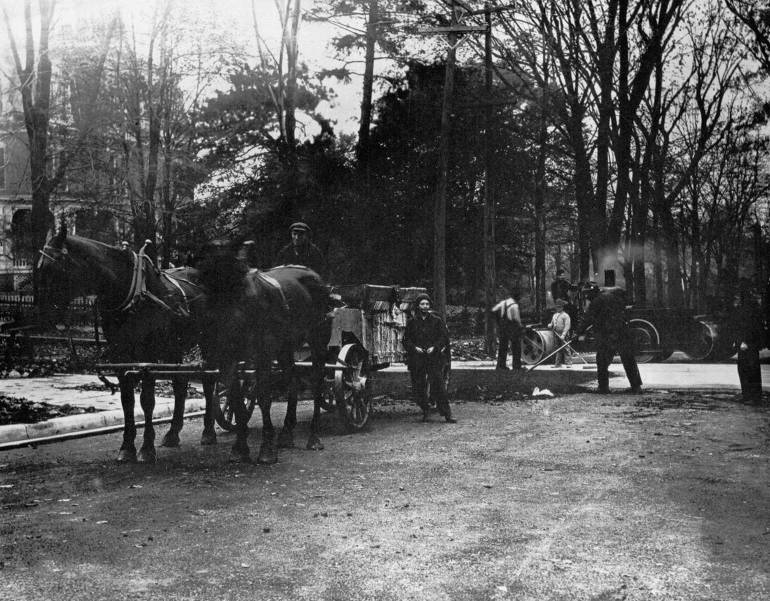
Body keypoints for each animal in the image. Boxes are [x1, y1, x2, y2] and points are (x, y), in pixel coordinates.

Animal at [35, 227, 216, 462]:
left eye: (54, 267)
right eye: (40, 266)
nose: (44, 311)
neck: (130, 293)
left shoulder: (147, 356)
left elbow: (147, 400)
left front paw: (147, 448)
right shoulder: (120, 354)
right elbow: (127, 399)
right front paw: (127, 447)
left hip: (207, 341)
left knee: (209, 380)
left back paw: (209, 431)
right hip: (173, 347)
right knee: (180, 385)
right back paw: (173, 433)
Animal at [196, 240, 328, 464]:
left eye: (236, 290)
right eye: (206, 287)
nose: (210, 333)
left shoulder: (263, 353)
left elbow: (264, 396)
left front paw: (267, 449)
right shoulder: (231, 357)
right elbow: (237, 400)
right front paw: (240, 447)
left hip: (318, 339)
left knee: (318, 382)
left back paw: (314, 436)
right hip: (284, 347)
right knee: (292, 379)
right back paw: (286, 433)